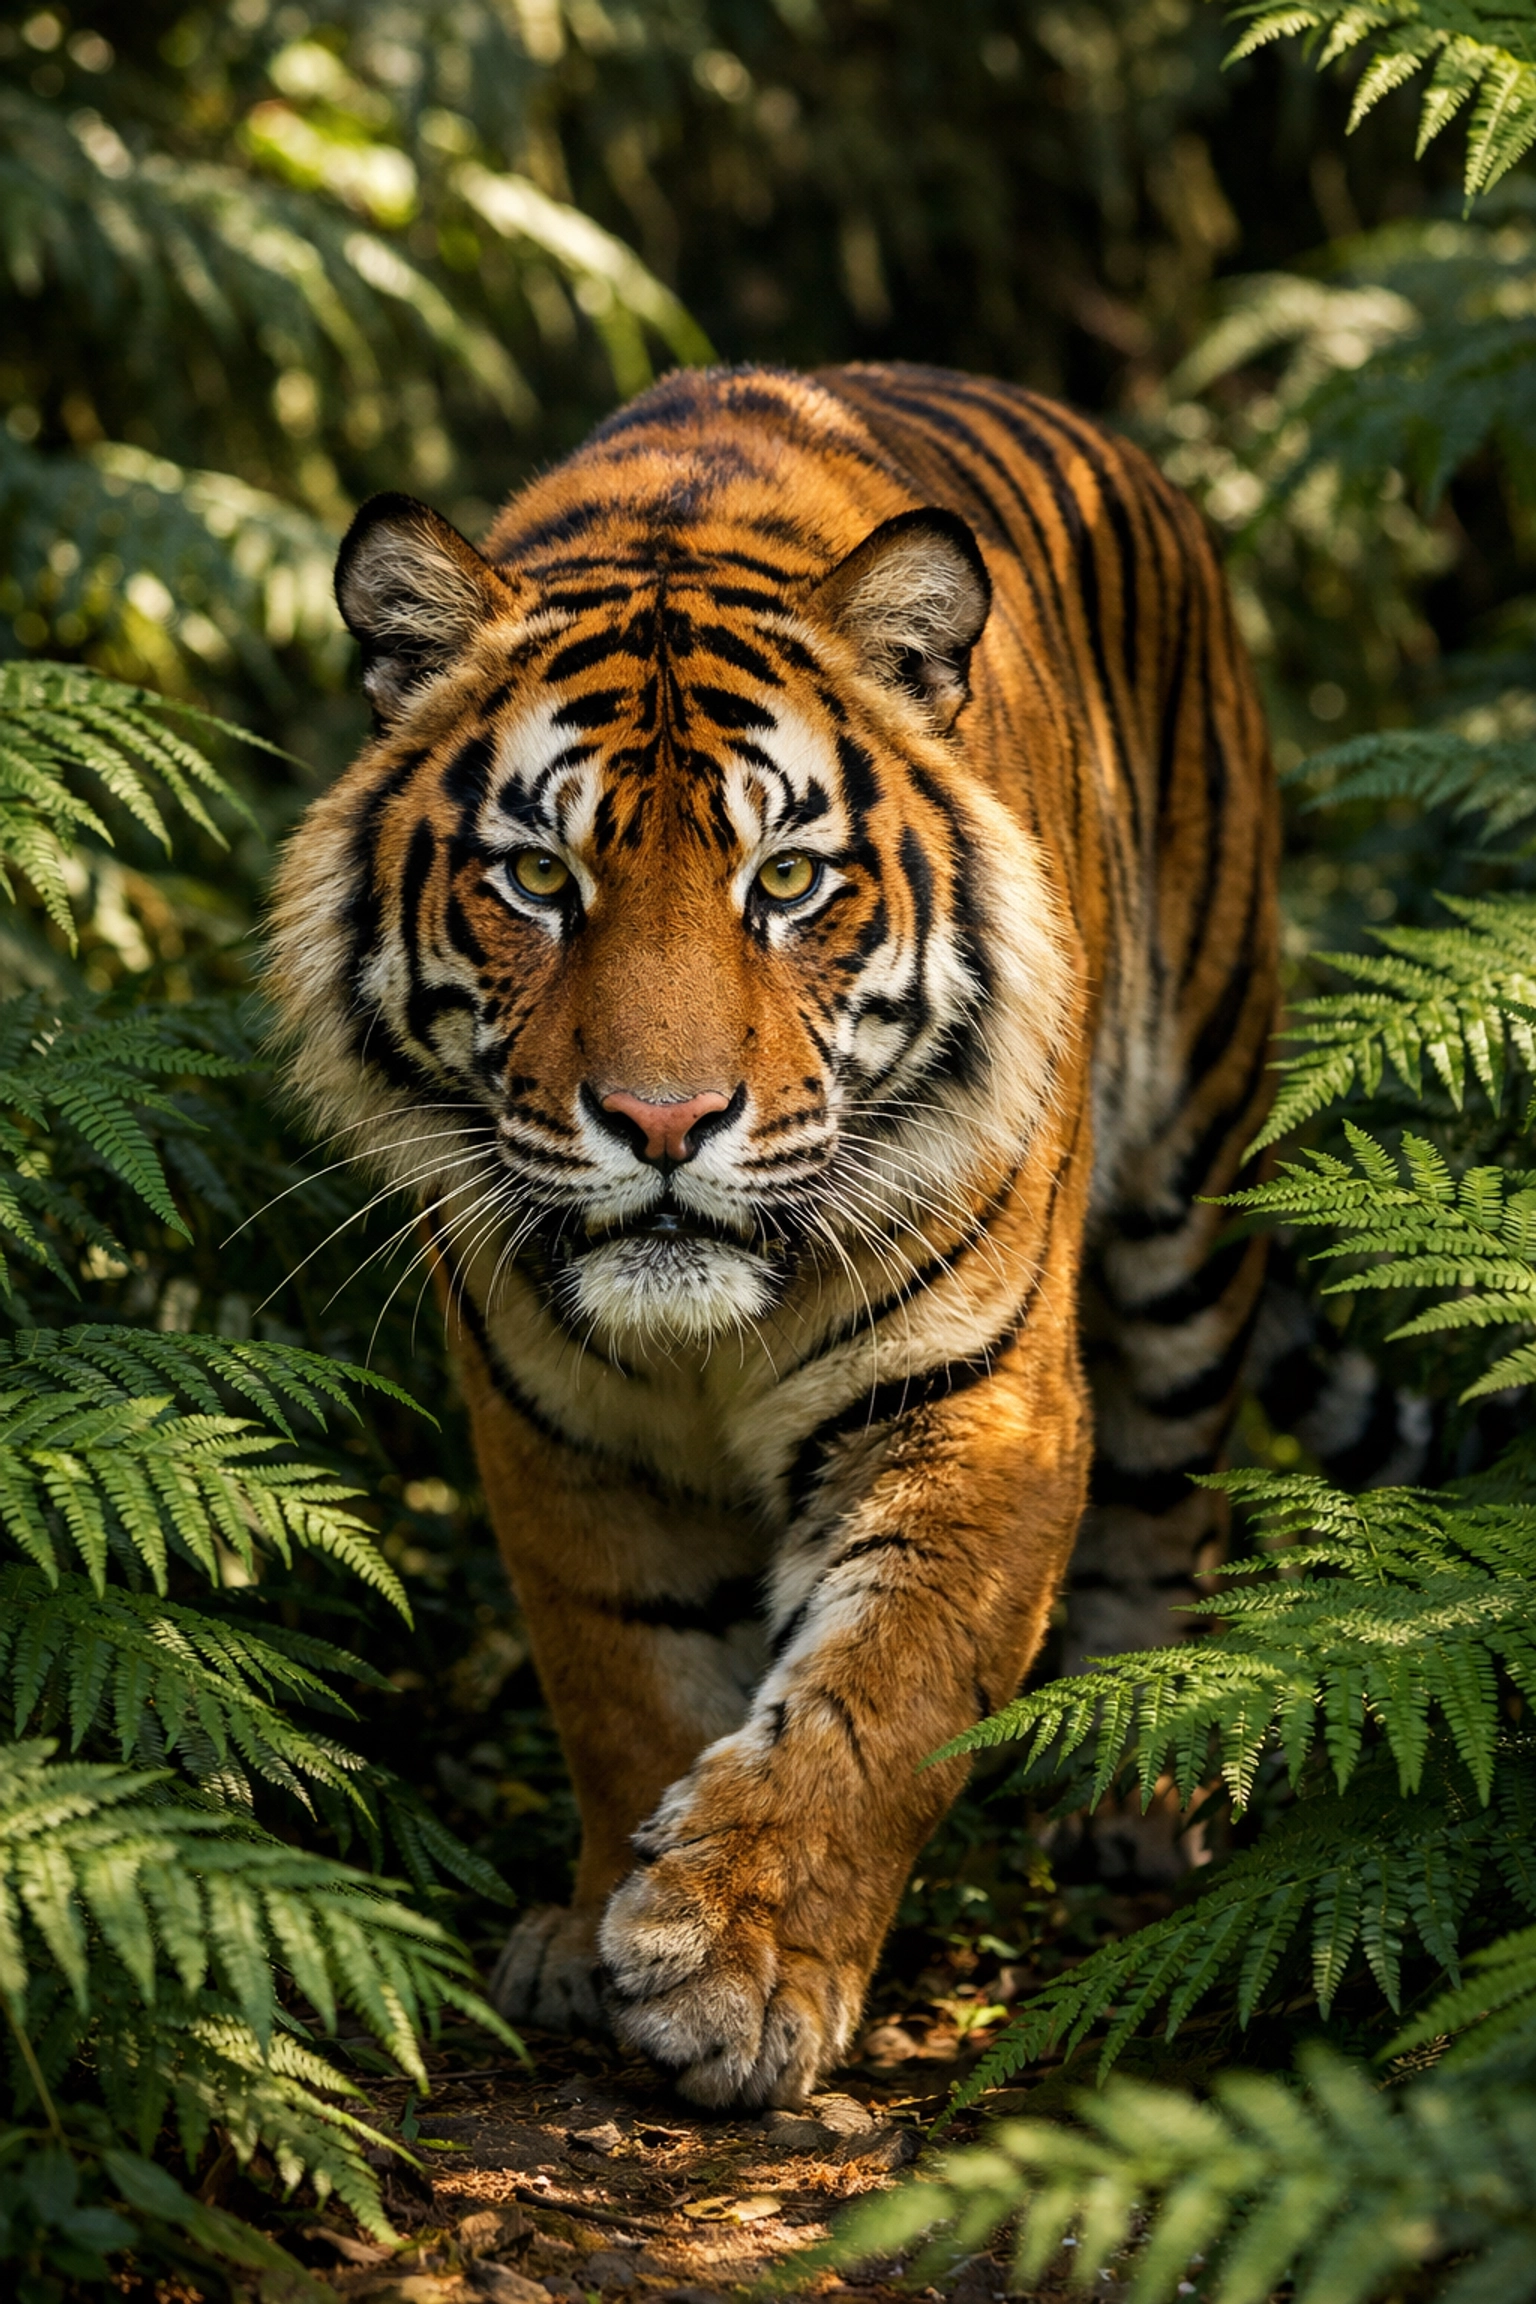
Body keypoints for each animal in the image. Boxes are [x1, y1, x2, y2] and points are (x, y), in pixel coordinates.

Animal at [268, 361, 1278, 2110]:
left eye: (789, 878)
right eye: (537, 876)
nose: (663, 1122)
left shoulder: (981, 1403)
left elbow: (881, 1698)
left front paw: (735, 1968)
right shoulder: (555, 1434)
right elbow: (625, 1684)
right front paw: (599, 1927)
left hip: (1192, 1209)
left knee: (1170, 1508)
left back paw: (1133, 1809)